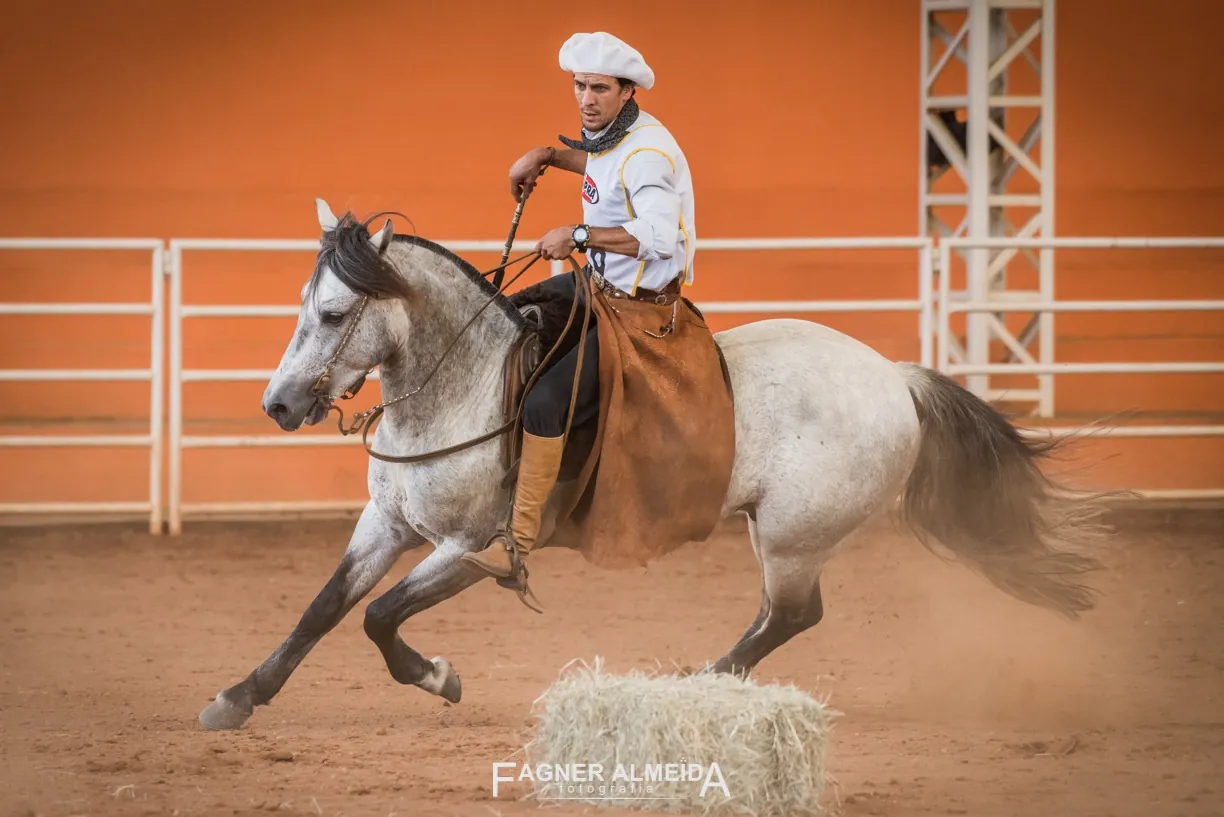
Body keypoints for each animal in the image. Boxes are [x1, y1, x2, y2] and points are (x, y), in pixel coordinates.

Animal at [198, 199, 1111, 730]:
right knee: (786, 617)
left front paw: (439, 676)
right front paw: (240, 695)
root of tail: (896, 378)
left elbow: (382, 618)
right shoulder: (387, 522)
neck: (468, 386)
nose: (279, 404)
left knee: (791, 615)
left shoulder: (471, 549)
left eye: (333, 311)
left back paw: (699, 685)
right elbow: (325, 608)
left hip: (791, 536)